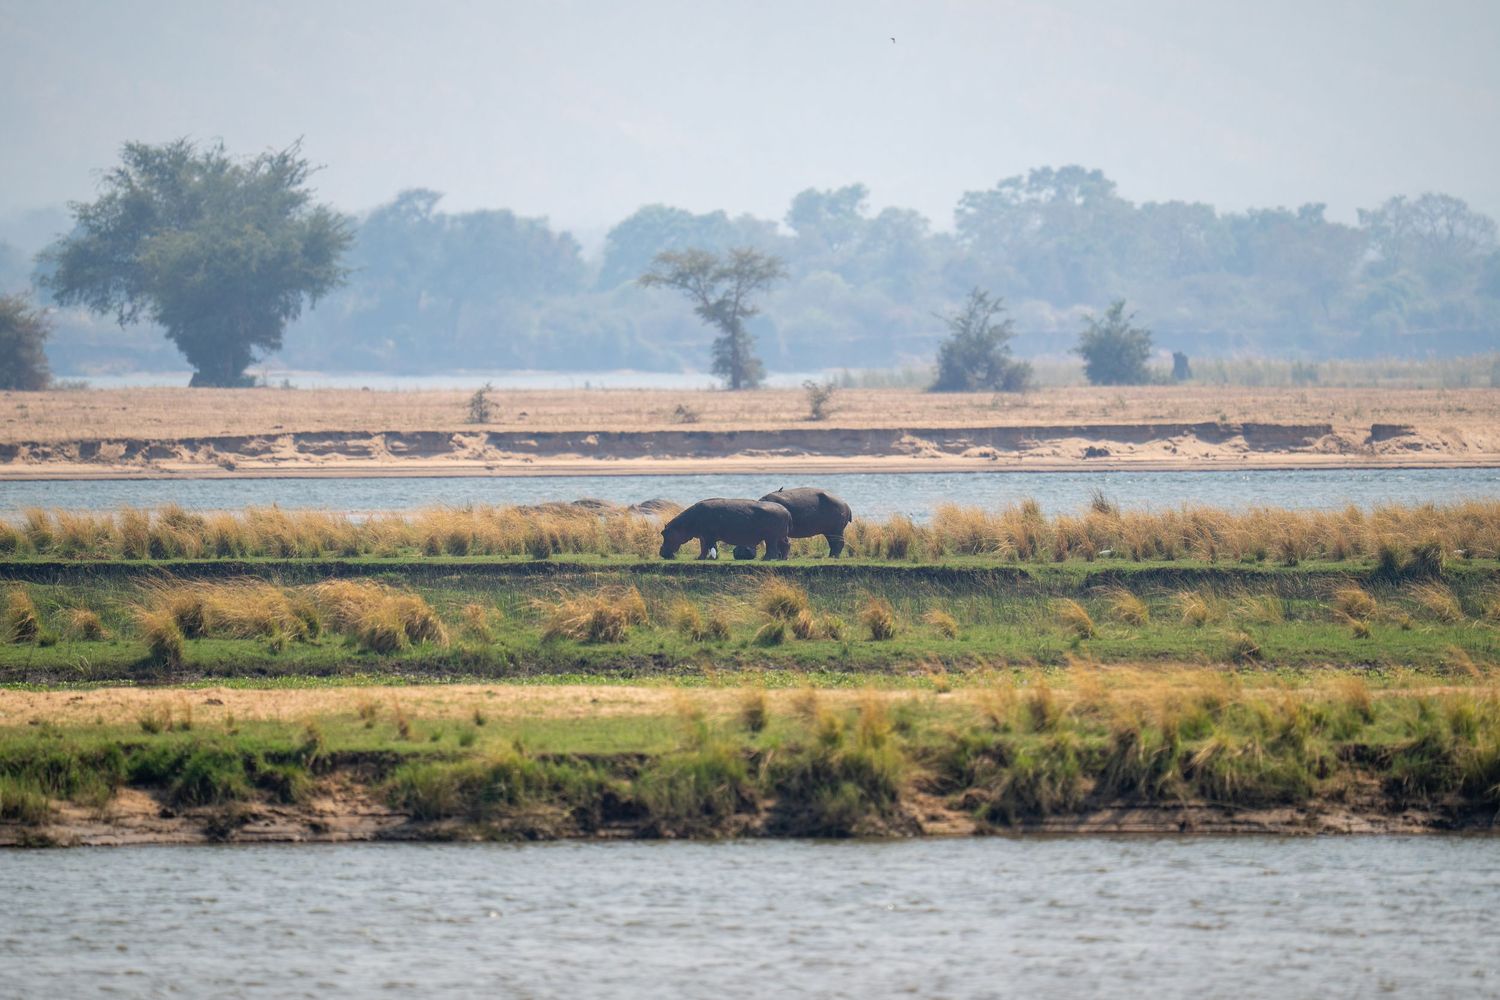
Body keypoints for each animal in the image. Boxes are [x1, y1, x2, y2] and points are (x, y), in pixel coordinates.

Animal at [659, 498, 792, 560]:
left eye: (664, 533)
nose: (661, 552)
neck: (684, 524)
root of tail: (786, 511)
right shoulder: (703, 536)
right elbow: (703, 548)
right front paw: (699, 558)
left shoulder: (708, 536)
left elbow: (710, 547)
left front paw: (710, 558)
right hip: (780, 536)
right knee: (786, 545)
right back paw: (783, 559)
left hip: (771, 537)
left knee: (772, 549)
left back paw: (765, 559)